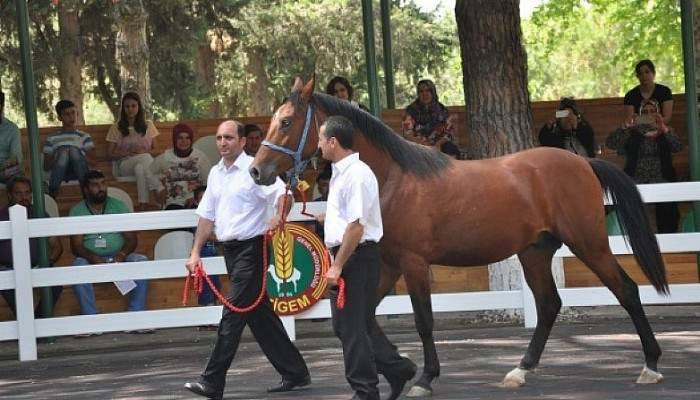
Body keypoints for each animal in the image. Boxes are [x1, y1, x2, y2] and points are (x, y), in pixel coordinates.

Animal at [249, 78, 668, 396]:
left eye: (285, 121)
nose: (256, 171)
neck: (392, 179)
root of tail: (584, 162)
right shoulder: (387, 263)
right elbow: (364, 316)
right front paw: (400, 368)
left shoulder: (414, 263)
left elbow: (423, 321)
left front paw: (423, 377)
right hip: (534, 252)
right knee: (549, 305)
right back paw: (520, 371)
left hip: (589, 243)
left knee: (626, 290)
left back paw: (650, 365)